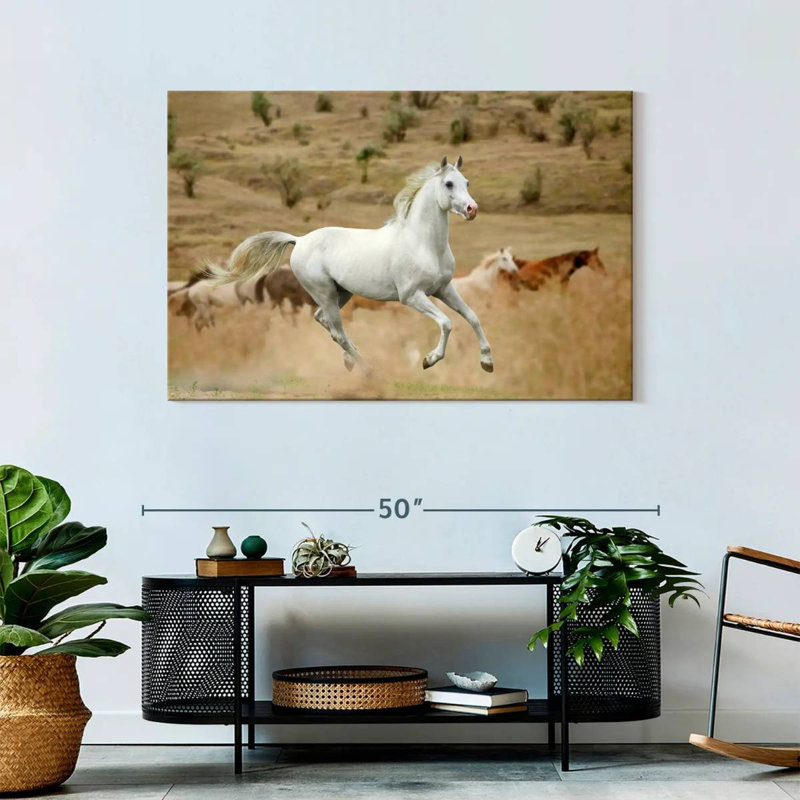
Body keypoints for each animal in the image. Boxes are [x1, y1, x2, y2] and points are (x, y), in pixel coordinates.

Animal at [206, 156, 494, 373]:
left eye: (466, 182)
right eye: (448, 184)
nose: (472, 209)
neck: (423, 243)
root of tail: (299, 240)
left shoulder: (444, 289)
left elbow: (473, 317)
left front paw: (487, 362)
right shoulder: (412, 296)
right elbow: (446, 323)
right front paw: (429, 360)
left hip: (341, 293)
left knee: (324, 322)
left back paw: (351, 358)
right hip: (324, 292)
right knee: (337, 331)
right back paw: (367, 369)